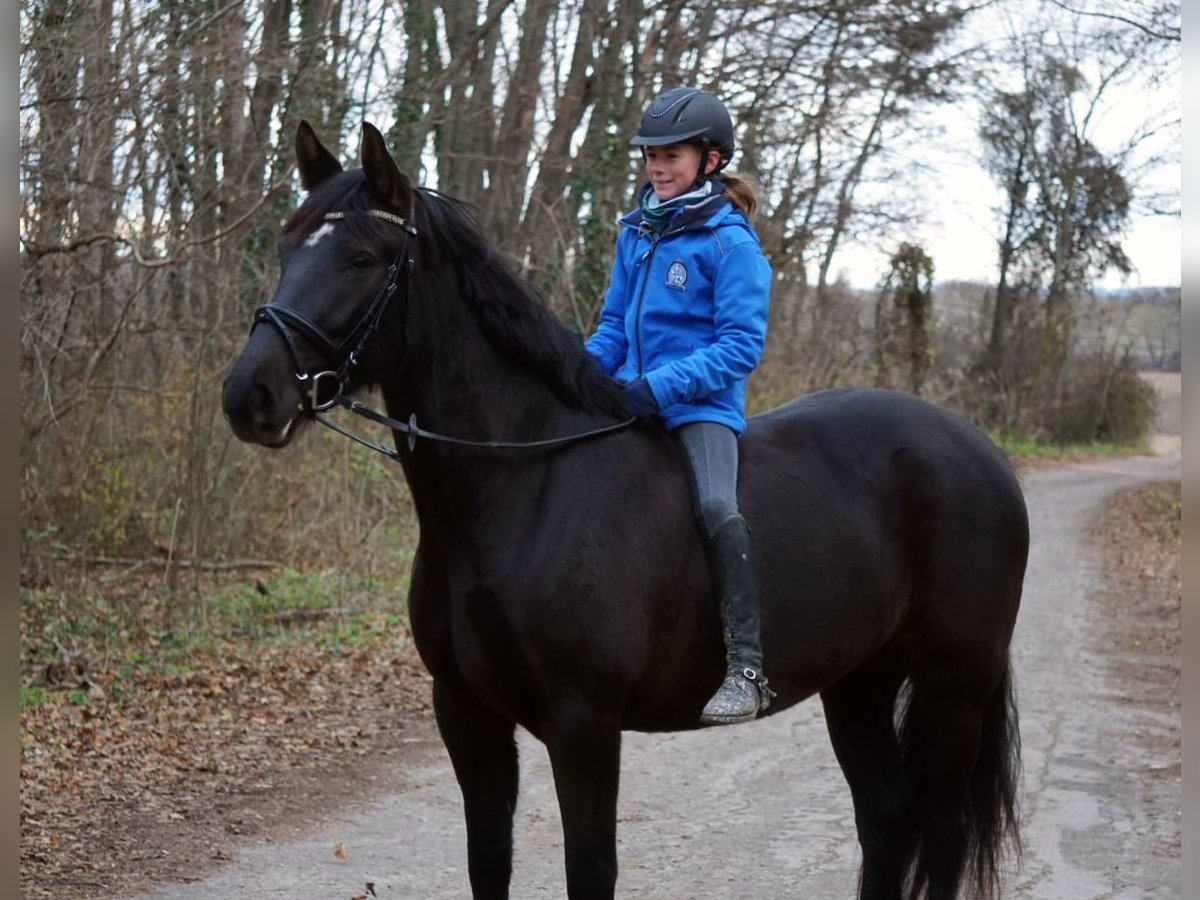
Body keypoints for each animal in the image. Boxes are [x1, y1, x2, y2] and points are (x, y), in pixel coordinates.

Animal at [220, 125, 1027, 900]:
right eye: (287, 245)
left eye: (360, 257)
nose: (248, 396)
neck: (519, 492)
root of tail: (980, 450)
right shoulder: (467, 714)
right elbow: (489, 865)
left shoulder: (583, 724)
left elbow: (591, 871)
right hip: (859, 679)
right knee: (886, 815)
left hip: (955, 686)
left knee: (943, 832)